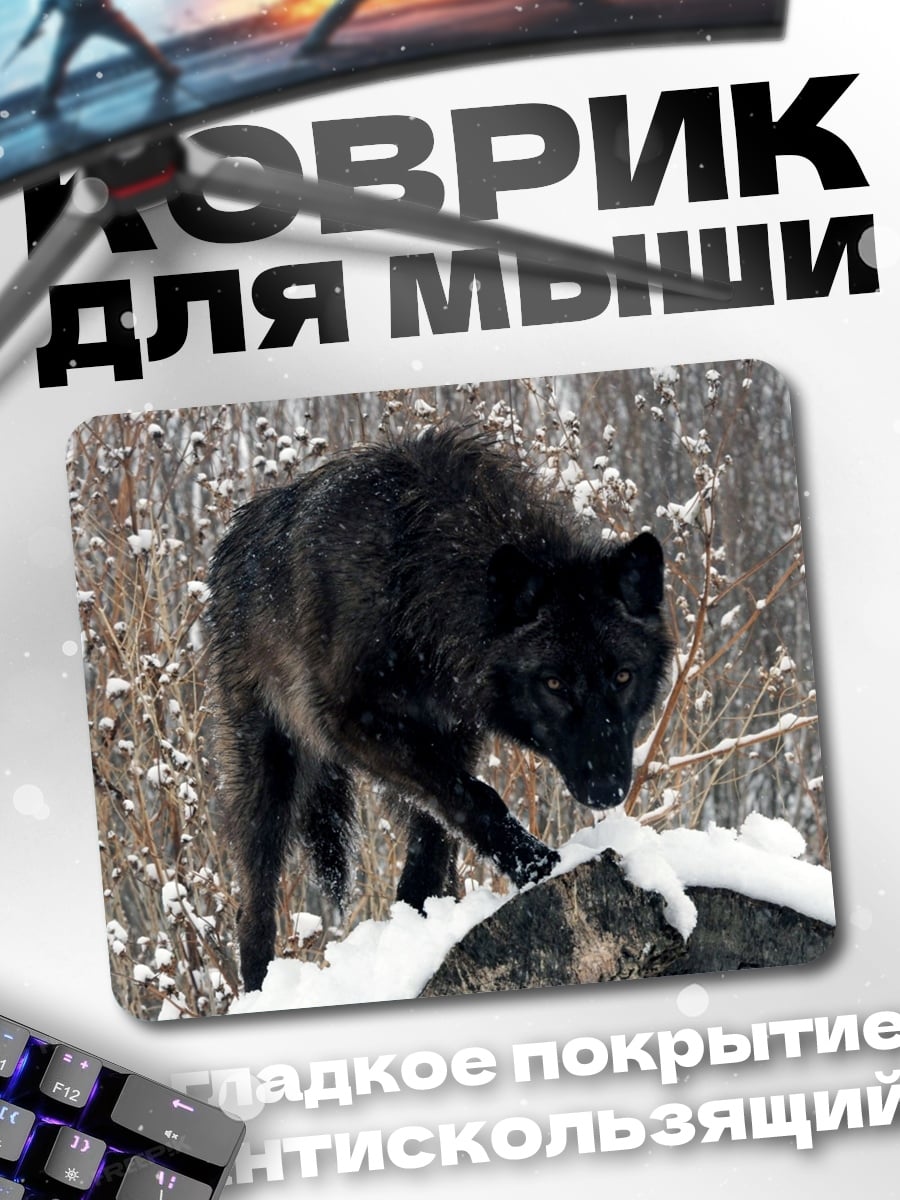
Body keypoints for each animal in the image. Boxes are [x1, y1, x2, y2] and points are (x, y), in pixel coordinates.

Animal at [206, 426, 673, 992]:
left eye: (623, 677)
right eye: (554, 683)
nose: (606, 788)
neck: (417, 574)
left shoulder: (453, 734)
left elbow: (439, 832)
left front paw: (423, 923)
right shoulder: (351, 723)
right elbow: (476, 798)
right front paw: (537, 864)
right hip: (270, 772)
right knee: (254, 898)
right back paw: (259, 988)